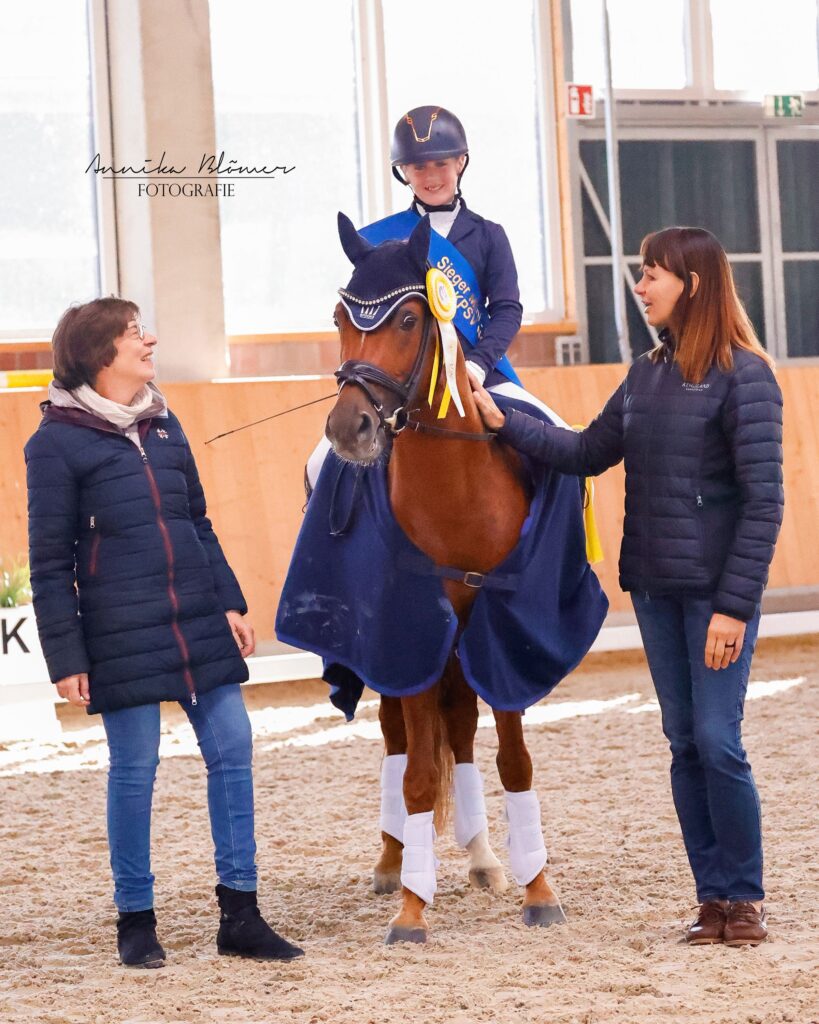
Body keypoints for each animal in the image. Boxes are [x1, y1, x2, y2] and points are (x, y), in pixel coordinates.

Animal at [323, 216, 565, 942]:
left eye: (408, 318)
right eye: (339, 318)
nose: (349, 429)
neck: (454, 486)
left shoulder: (500, 627)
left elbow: (512, 759)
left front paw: (538, 890)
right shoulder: (409, 629)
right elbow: (416, 778)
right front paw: (411, 905)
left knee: (458, 729)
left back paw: (485, 858)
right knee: (400, 740)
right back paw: (391, 860)